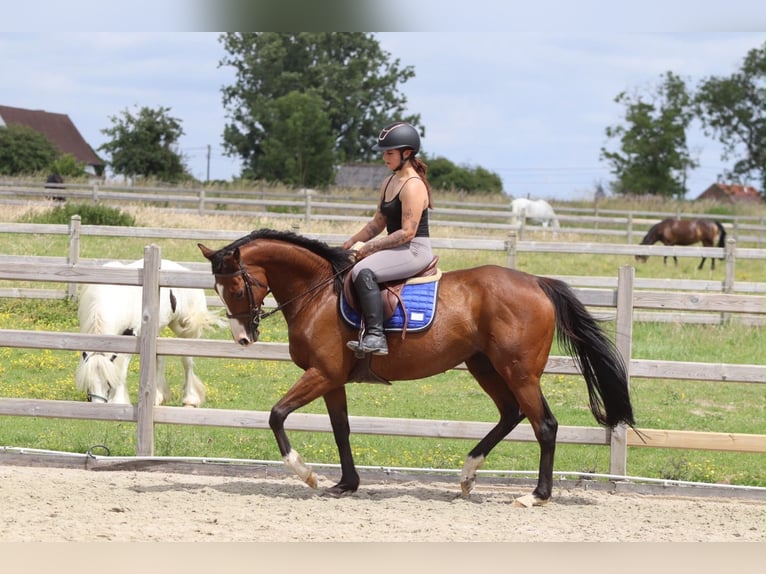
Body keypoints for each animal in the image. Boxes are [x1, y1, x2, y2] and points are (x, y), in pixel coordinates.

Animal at [75, 259, 222, 406]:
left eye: (108, 382)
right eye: (87, 383)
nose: (97, 406)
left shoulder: (130, 336)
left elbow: (121, 371)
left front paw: (118, 401)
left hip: (185, 329)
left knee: (187, 360)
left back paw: (190, 399)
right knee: (160, 359)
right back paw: (158, 396)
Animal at [198, 229, 636, 507]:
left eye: (234, 287)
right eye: (218, 289)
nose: (242, 338)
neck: (318, 292)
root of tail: (536, 282)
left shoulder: (322, 374)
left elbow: (276, 415)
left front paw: (305, 474)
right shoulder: (332, 380)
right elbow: (341, 430)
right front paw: (346, 484)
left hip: (518, 371)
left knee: (543, 425)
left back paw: (536, 496)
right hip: (484, 366)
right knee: (511, 414)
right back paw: (468, 474)